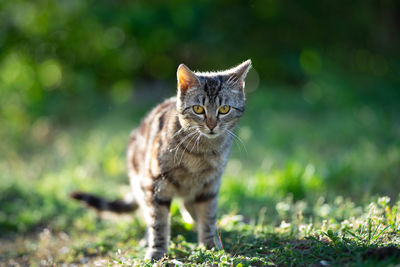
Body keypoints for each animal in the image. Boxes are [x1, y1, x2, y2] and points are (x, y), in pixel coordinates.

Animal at [70, 59, 252, 262]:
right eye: (198, 109)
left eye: (224, 109)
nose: (211, 125)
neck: (200, 153)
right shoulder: (155, 185)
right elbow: (158, 223)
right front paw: (157, 251)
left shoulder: (210, 187)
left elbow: (208, 217)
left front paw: (210, 245)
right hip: (141, 183)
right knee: (149, 213)